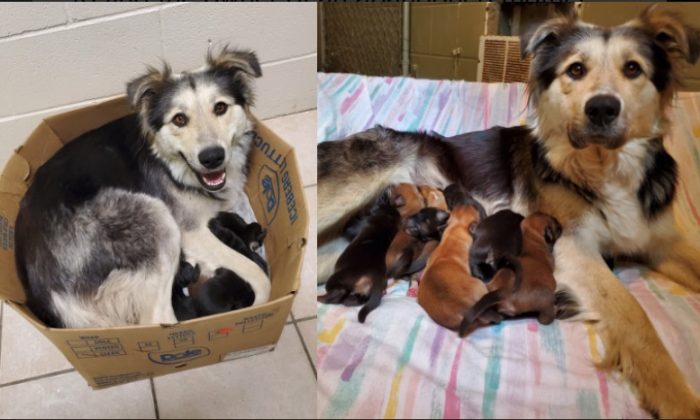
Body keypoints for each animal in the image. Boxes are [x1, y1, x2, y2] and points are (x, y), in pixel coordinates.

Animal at [14, 47, 270, 330]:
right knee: (158, 319)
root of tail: (50, 295)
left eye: (221, 107)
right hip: (154, 217)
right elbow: (260, 278)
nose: (212, 157)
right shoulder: (191, 231)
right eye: (179, 119)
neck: (170, 162)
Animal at [318, 189, 400, 324]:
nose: (386, 190)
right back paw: (349, 301)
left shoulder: (353, 227)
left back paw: (321, 298)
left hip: (336, 279)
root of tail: (376, 277)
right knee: (357, 299)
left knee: (338, 293)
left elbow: (349, 225)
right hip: (364, 293)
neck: (389, 219)